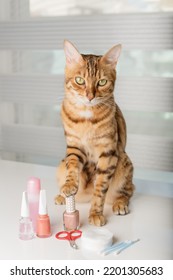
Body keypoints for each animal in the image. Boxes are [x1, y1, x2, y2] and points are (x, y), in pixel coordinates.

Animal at [54, 40, 134, 226]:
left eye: (102, 82)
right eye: (79, 80)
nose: (90, 96)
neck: (86, 119)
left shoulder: (108, 153)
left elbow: (100, 189)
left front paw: (96, 213)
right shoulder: (74, 147)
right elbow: (72, 168)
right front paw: (69, 186)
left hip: (124, 163)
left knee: (128, 190)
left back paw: (120, 203)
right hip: (61, 165)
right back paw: (61, 196)